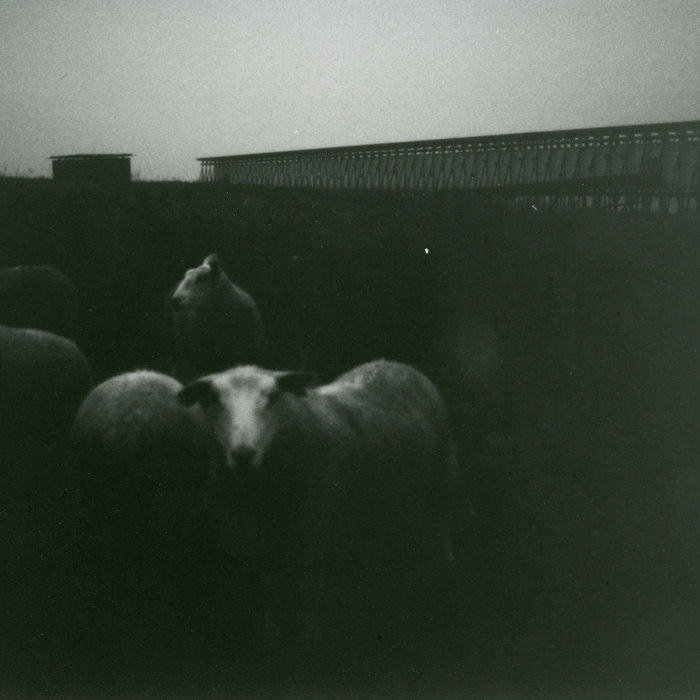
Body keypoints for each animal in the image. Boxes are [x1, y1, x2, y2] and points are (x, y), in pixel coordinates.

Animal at [178, 359, 459, 646]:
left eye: (274, 396)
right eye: (213, 399)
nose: (243, 454)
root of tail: (391, 362)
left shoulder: (314, 533)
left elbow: (308, 592)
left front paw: (309, 638)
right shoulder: (264, 541)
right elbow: (270, 590)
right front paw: (273, 634)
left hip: (443, 474)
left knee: (441, 525)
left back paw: (443, 568)